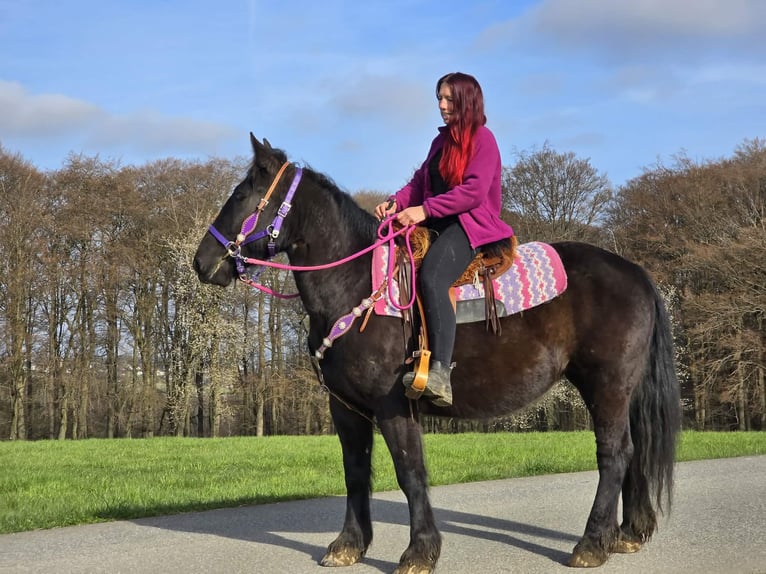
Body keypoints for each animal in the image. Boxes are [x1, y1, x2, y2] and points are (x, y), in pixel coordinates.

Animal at [193, 134, 682, 573]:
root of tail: (635, 271)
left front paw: (419, 552)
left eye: (242, 195)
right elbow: (356, 470)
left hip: (607, 386)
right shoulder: (345, 407)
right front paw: (349, 545)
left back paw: (592, 543)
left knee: (614, 454)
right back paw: (627, 533)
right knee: (632, 452)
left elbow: (410, 471)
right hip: (620, 390)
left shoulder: (392, 406)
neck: (356, 281)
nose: (202, 262)